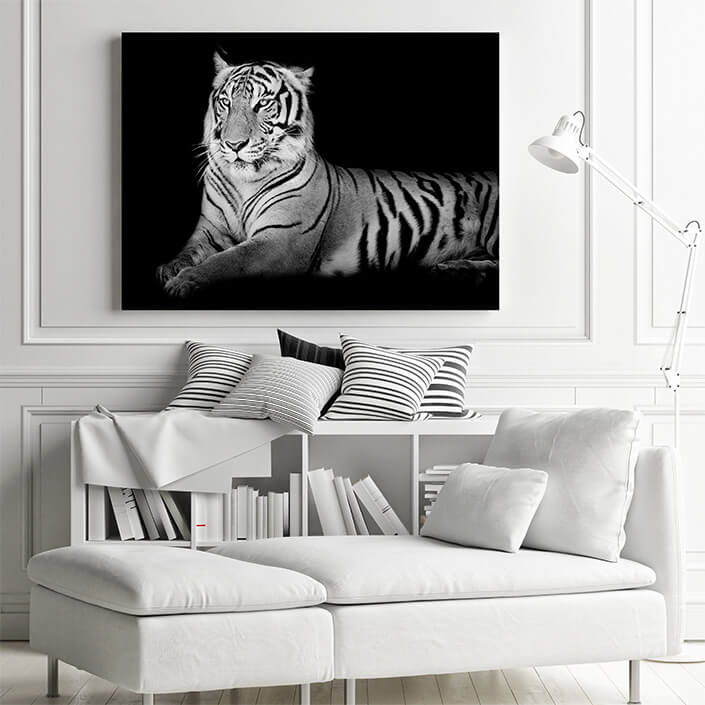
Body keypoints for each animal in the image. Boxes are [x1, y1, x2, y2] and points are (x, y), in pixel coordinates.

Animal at [157, 54, 498, 298]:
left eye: (262, 103)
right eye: (225, 102)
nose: (234, 144)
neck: (245, 182)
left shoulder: (280, 240)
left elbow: (228, 260)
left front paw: (185, 281)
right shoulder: (210, 230)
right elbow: (190, 251)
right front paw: (170, 268)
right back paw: (454, 270)